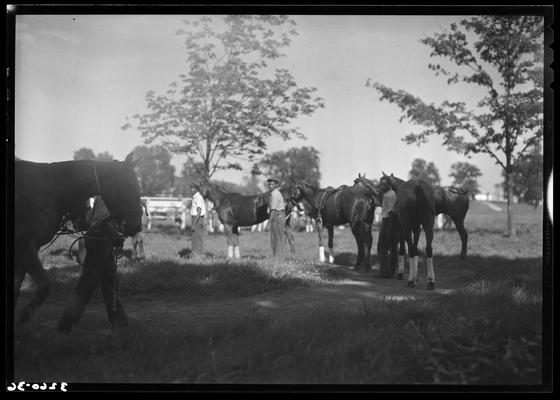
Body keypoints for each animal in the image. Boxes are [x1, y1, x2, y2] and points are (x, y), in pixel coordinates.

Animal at [15, 153, 143, 332]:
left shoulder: (25, 248)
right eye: (129, 185)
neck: (49, 188)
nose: (137, 225)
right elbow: (43, 284)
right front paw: (23, 317)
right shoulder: (24, 243)